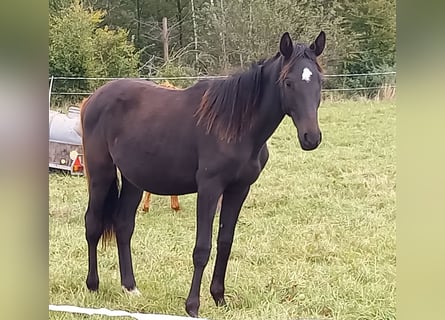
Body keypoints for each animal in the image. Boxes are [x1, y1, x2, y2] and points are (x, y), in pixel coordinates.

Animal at [80, 31, 324, 316]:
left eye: (319, 81)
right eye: (288, 82)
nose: (311, 137)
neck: (236, 126)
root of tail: (93, 98)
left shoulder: (238, 189)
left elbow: (225, 242)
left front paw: (220, 298)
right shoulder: (209, 189)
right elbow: (202, 248)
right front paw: (193, 306)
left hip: (133, 181)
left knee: (123, 225)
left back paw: (130, 287)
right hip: (101, 174)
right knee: (92, 223)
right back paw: (93, 285)